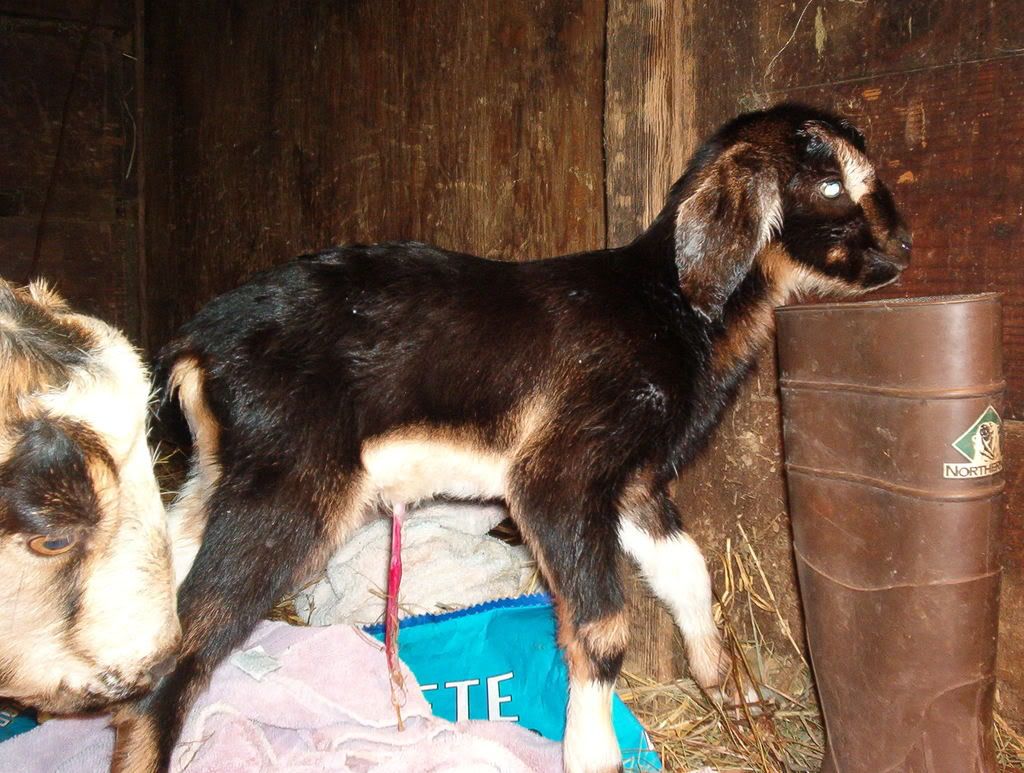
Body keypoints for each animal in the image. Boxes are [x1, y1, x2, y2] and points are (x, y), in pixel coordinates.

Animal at [117, 104, 911, 773]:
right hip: (288, 488)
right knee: (186, 639)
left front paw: (733, 696)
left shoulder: (632, 481)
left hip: (218, 478)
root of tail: (195, 346)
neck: (669, 305)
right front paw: (592, 753)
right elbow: (603, 626)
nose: (902, 246)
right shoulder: (560, 475)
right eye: (831, 181)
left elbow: (687, 571)